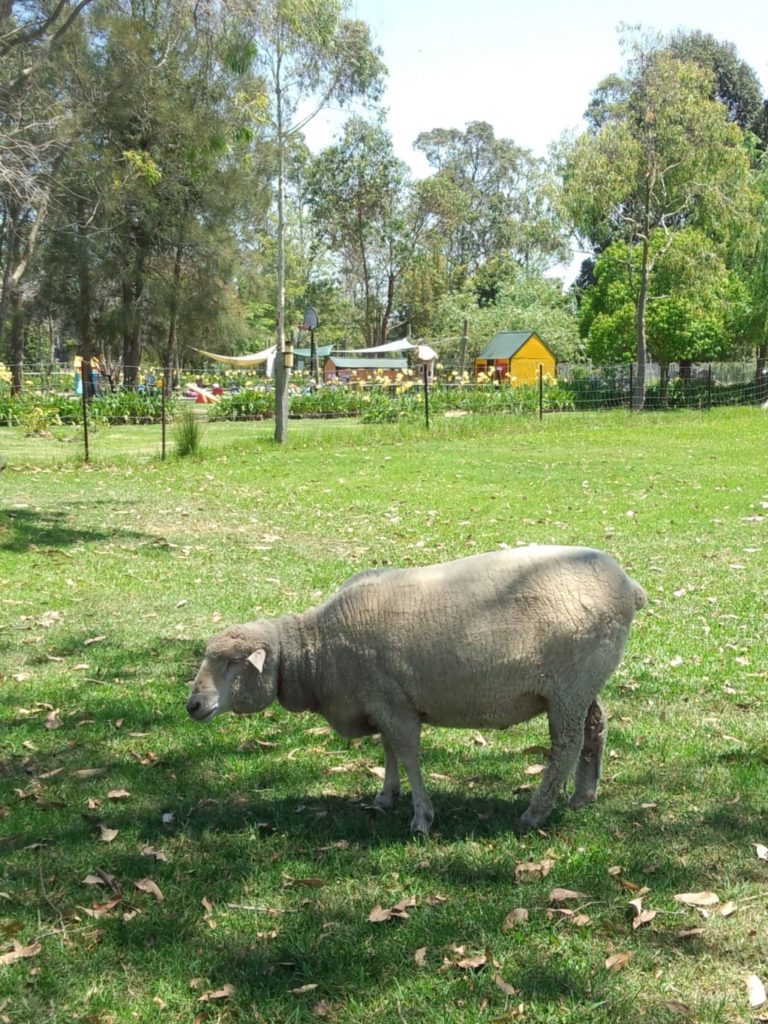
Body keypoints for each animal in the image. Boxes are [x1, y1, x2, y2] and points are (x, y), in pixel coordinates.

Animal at [188, 544, 651, 831]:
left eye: (232, 663)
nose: (192, 704)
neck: (317, 650)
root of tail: (628, 585)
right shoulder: (380, 701)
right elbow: (390, 752)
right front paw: (385, 796)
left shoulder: (393, 703)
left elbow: (409, 756)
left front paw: (422, 818)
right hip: (582, 685)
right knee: (596, 729)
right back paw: (583, 796)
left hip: (570, 686)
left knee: (566, 745)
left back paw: (535, 813)